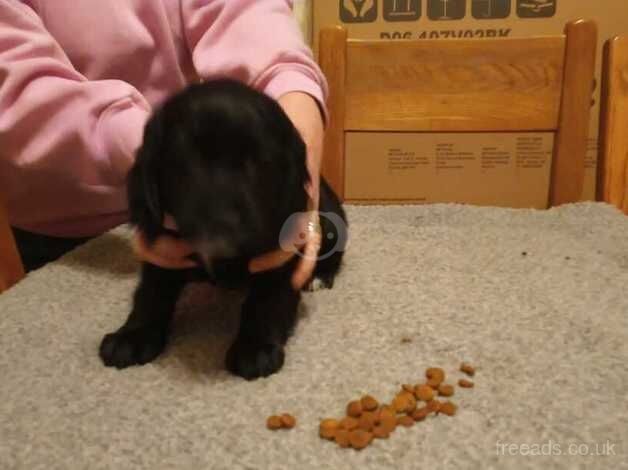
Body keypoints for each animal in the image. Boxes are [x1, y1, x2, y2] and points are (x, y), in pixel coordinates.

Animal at [98, 79, 346, 380]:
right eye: (184, 164)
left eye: (258, 162)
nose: (223, 247)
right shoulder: (163, 250)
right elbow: (151, 292)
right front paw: (132, 335)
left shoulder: (280, 257)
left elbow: (265, 299)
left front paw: (255, 347)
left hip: (332, 223)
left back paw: (318, 276)